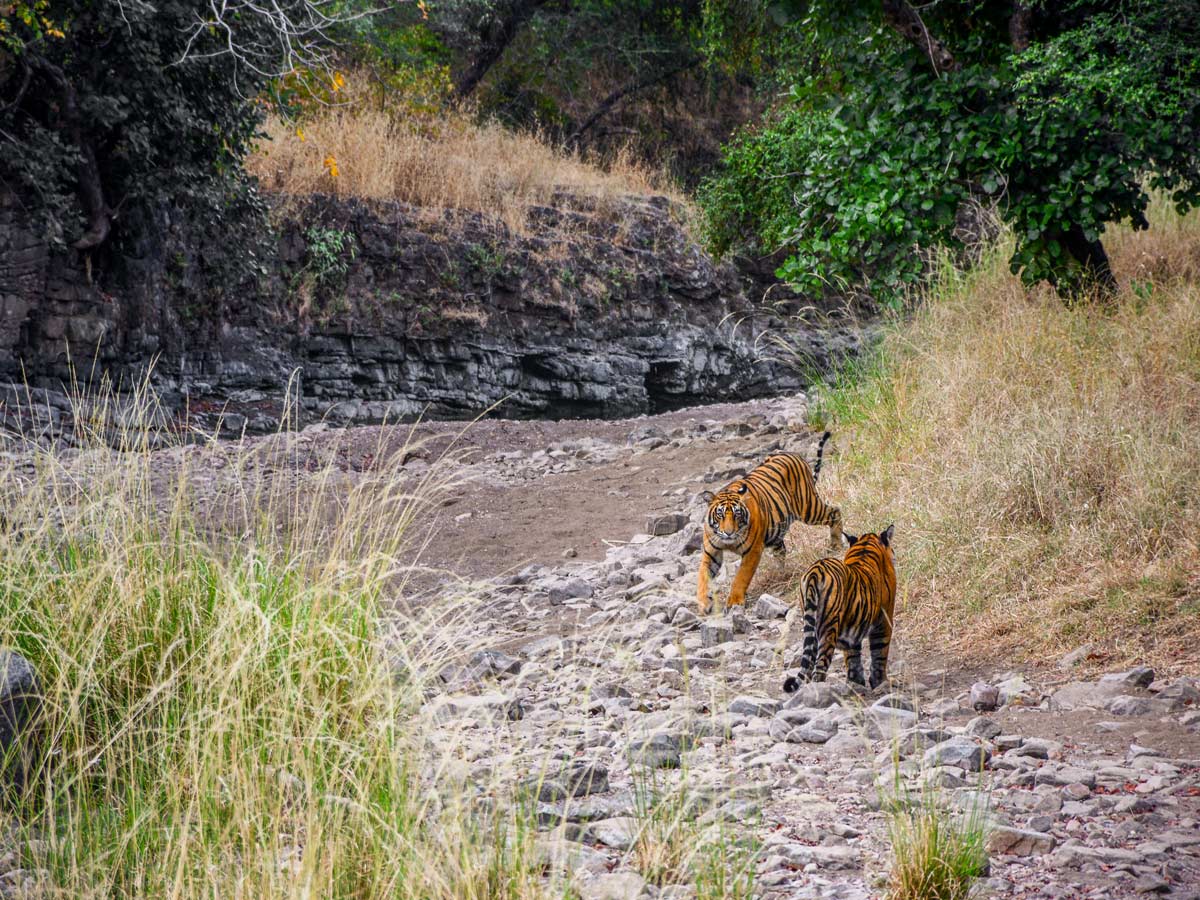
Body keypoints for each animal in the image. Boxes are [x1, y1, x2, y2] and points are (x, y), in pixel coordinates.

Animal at [696, 432, 844, 619]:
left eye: (737, 515)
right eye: (720, 514)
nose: (728, 533)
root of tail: (793, 454)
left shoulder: (753, 551)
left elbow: (741, 577)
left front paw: (734, 602)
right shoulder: (711, 552)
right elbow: (703, 577)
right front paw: (703, 603)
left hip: (809, 509)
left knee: (835, 511)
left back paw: (836, 544)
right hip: (777, 531)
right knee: (782, 551)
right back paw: (781, 574)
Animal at [782, 525, 897, 696]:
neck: (866, 544)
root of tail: (815, 572)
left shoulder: (853, 626)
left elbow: (852, 658)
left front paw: (856, 683)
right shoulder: (884, 620)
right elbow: (880, 653)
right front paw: (881, 683)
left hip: (811, 625)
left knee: (808, 666)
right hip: (828, 629)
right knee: (819, 668)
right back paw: (819, 692)